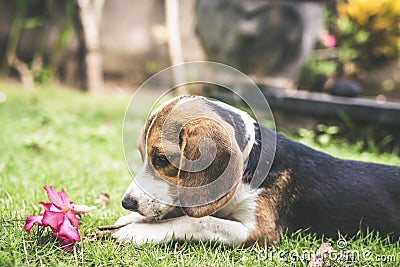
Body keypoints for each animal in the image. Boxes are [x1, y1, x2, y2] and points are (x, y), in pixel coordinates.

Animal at [111, 95, 400, 246]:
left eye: (161, 159)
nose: (127, 203)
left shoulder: (259, 230)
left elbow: (201, 221)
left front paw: (140, 231)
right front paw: (132, 219)